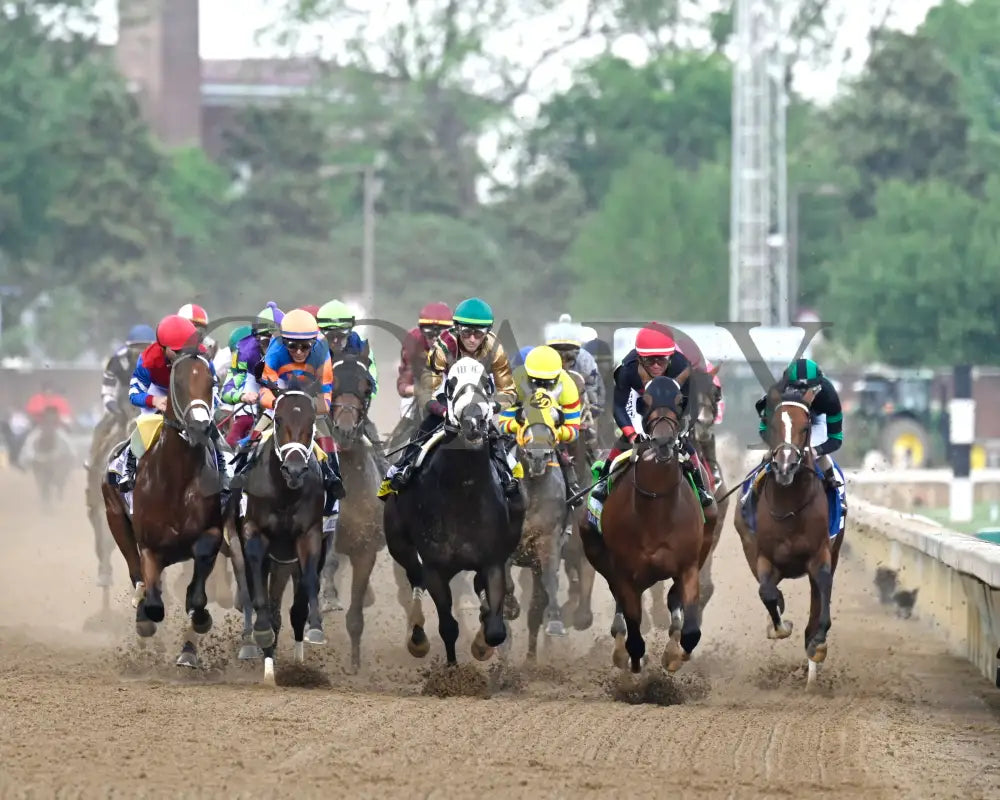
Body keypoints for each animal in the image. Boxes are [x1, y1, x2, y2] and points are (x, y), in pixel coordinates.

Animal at [102, 354, 227, 664]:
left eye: (211, 382)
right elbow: (154, 602)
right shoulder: (150, 546)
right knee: (135, 571)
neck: (177, 479)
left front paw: (200, 618)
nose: (199, 427)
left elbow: (197, 587)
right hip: (115, 518)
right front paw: (145, 619)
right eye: (177, 383)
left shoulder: (212, 531)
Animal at [380, 360, 524, 664]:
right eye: (451, 384)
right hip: (399, 543)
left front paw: (482, 644)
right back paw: (417, 635)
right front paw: (452, 669)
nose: (473, 421)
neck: (463, 491)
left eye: (487, 383)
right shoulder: (436, 567)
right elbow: (448, 626)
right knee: (415, 577)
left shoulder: (493, 561)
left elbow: (495, 629)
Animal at [580, 372, 712, 672]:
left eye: (680, 400)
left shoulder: (688, 566)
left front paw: (675, 655)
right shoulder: (623, 572)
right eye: (644, 402)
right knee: (620, 605)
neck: (656, 509)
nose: (663, 442)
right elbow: (634, 635)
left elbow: (691, 631)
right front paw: (632, 658)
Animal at [736, 386, 844, 688]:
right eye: (772, 424)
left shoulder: (821, 554)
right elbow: (767, 593)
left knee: (816, 597)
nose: (784, 466)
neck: (789, 505)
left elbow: (823, 590)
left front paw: (817, 642)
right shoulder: (762, 556)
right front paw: (779, 626)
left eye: (805, 427)